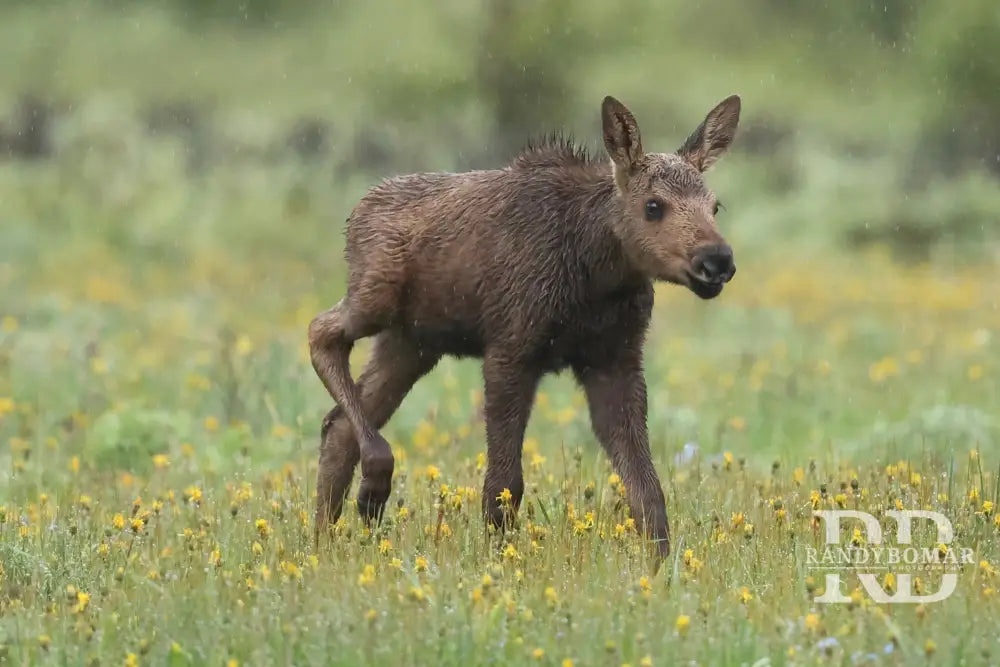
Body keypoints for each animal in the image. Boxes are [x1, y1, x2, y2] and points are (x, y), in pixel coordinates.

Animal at [308, 94, 740, 560]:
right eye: (653, 206)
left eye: (715, 206)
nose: (717, 260)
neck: (598, 270)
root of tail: (356, 212)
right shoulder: (510, 350)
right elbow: (503, 486)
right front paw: (499, 561)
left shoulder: (614, 360)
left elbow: (646, 488)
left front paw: (660, 567)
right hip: (375, 299)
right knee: (320, 332)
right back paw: (371, 486)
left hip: (411, 343)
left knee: (338, 425)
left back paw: (324, 541)